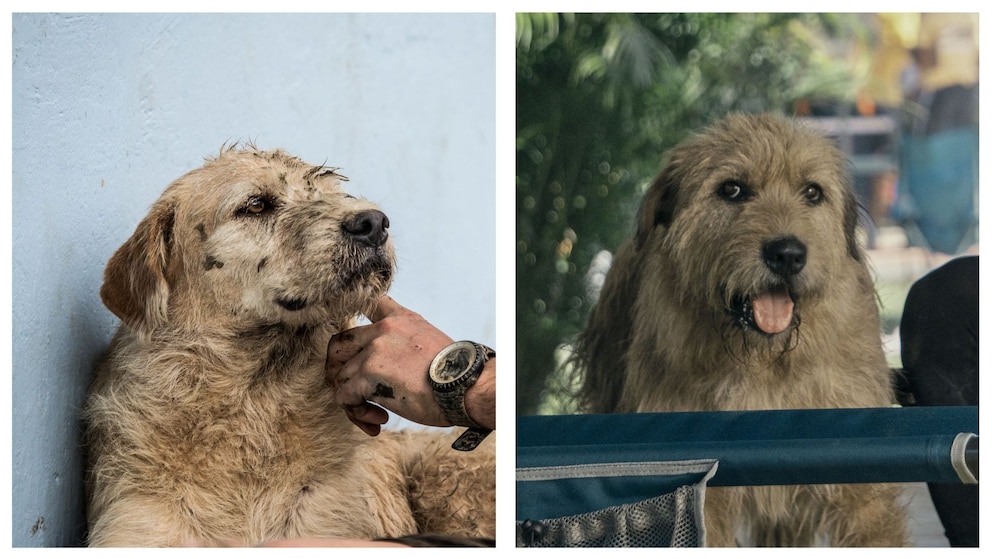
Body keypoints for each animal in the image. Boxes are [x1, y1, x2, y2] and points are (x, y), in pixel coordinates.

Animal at [572, 114, 908, 548]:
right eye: (732, 189)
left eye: (812, 192)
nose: (787, 254)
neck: (764, 362)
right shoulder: (700, 492)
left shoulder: (862, 490)